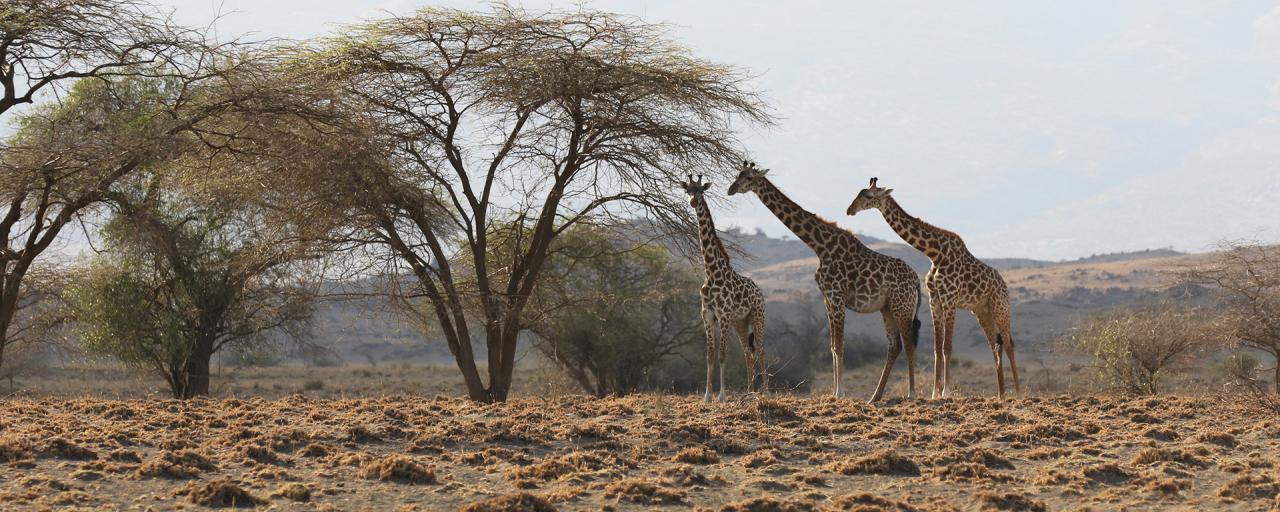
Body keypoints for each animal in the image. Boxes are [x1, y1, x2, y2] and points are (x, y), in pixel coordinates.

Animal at [680, 176, 768, 404]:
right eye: (688, 190)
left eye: (700, 190)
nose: (693, 202)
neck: (711, 272)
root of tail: (759, 291)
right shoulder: (708, 315)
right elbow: (710, 355)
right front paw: (706, 396)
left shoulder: (724, 315)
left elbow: (722, 354)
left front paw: (721, 396)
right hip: (741, 322)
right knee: (748, 352)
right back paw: (749, 392)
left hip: (757, 316)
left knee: (761, 350)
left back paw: (765, 391)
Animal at [727, 161, 926, 401]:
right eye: (737, 175)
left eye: (748, 177)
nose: (730, 189)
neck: (820, 246)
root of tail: (916, 282)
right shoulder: (828, 300)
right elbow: (832, 347)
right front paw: (834, 392)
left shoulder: (837, 296)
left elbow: (839, 346)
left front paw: (840, 393)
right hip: (886, 308)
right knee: (894, 345)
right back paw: (875, 396)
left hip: (901, 306)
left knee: (909, 344)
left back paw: (912, 394)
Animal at [844, 177, 1024, 396]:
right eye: (858, 193)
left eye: (869, 196)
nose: (849, 210)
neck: (935, 253)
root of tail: (1003, 284)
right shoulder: (934, 300)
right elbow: (937, 348)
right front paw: (934, 393)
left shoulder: (950, 300)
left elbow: (947, 347)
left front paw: (945, 392)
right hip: (982, 311)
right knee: (995, 346)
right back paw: (1001, 394)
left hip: (1000, 307)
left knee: (1009, 343)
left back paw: (1018, 392)